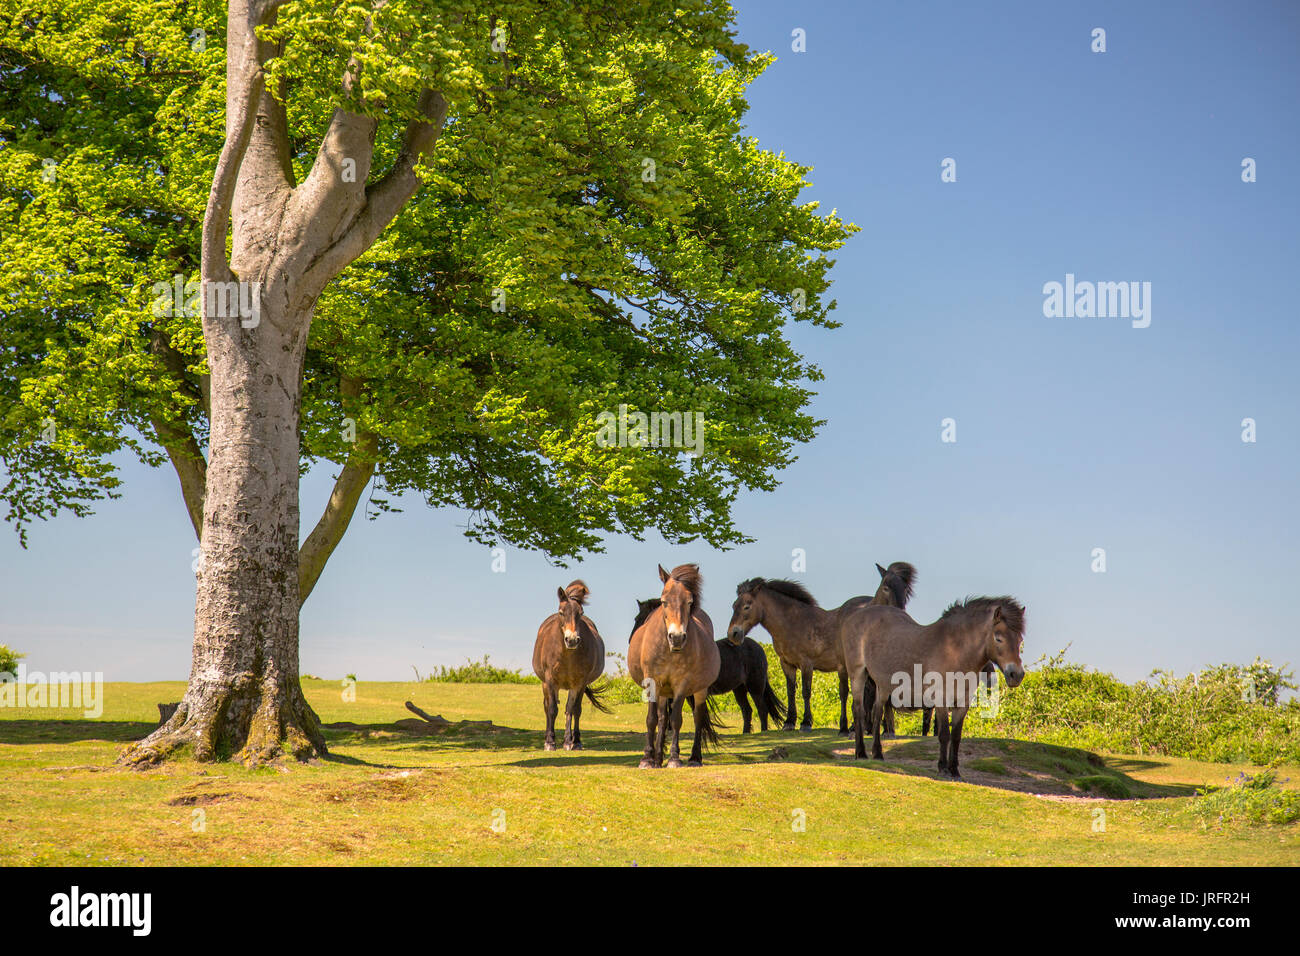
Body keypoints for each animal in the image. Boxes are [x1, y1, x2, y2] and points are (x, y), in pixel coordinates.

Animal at [527, 580, 608, 749]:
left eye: (581, 613)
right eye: (561, 612)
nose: (571, 640)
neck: (567, 656)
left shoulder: (580, 683)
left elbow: (575, 710)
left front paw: (575, 741)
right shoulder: (550, 680)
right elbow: (552, 709)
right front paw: (550, 742)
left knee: (568, 709)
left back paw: (568, 740)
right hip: (545, 684)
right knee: (547, 706)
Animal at [626, 564, 722, 764]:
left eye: (689, 602)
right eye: (664, 601)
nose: (676, 637)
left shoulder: (682, 683)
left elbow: (676, 719)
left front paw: (674, 758)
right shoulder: (653, 682)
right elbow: (653, 719)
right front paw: (649, 758)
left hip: (700, 689)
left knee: (698, 718)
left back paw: (695, 757)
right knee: (663, 718)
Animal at [842, 598, 1024, 780]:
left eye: (1020, 640)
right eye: (998, 638)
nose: (1016, 675)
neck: (955, 651)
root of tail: (857, 615)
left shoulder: (962, 704)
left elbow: (956, 736)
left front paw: (954, 770)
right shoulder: (941, 700)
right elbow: (944, 734)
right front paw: (943, 768)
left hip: (882, 684)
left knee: (877, 712)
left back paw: (878, 754)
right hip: (858, 675)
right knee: (858, 711)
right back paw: (861, 753)